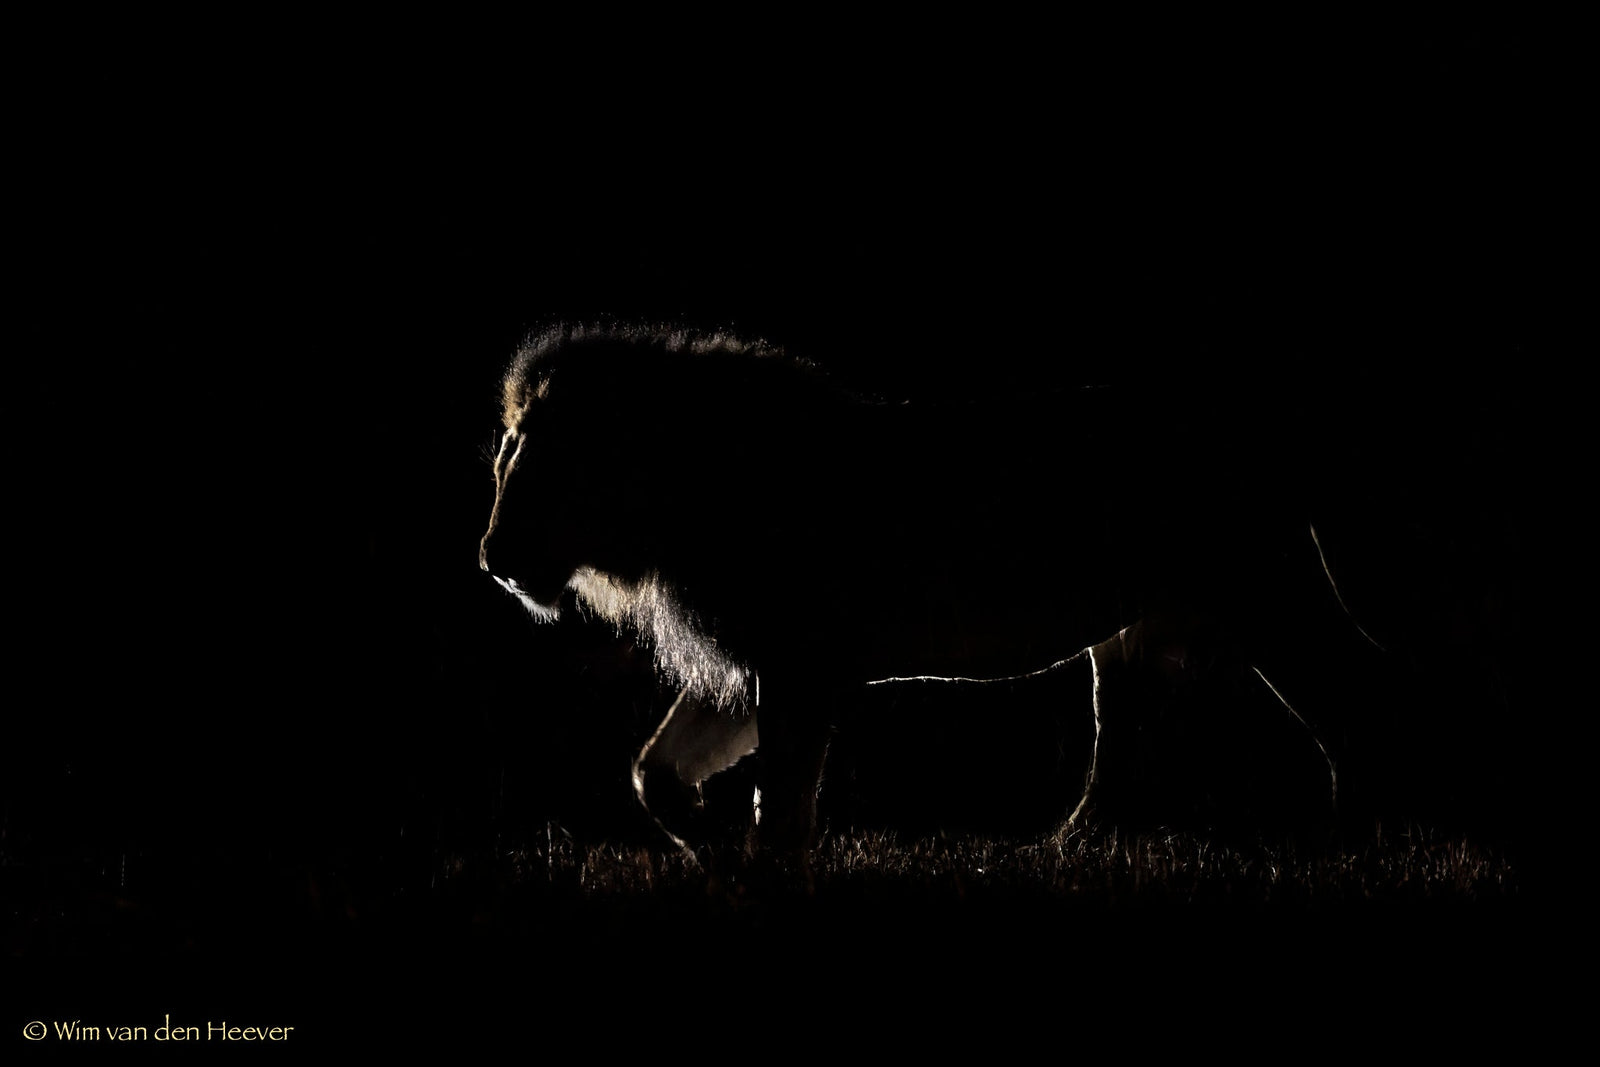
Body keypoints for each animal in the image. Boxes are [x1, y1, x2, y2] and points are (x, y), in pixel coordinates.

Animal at [479, 324, 1381, 850]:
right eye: (505, 460)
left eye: (542, 466)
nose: (490, 557)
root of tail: (1260, 425)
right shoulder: (749, 667)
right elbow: (653, 774)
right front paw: (716, 849)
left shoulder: (801, 669)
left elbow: (784, 810)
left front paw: (769, 882)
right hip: (1135, 643)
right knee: (1123, 743)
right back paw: (1067, 849)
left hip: (1267, 593)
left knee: (1355, 696)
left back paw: (1353, 847)